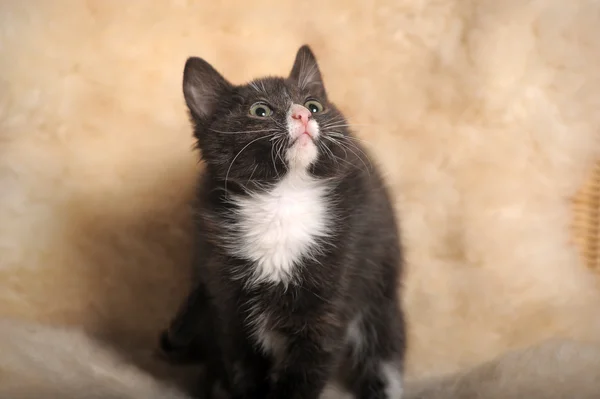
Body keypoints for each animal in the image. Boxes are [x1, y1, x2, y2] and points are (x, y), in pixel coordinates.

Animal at [159, 45, 406, 398]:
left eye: (315, 105)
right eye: (260, 110)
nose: (303, 114)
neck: (282, 201)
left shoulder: (336, 286)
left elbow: (306, 370)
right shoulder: (227, 298)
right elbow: (242, 364)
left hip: (379, 279)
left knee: (383, 341)